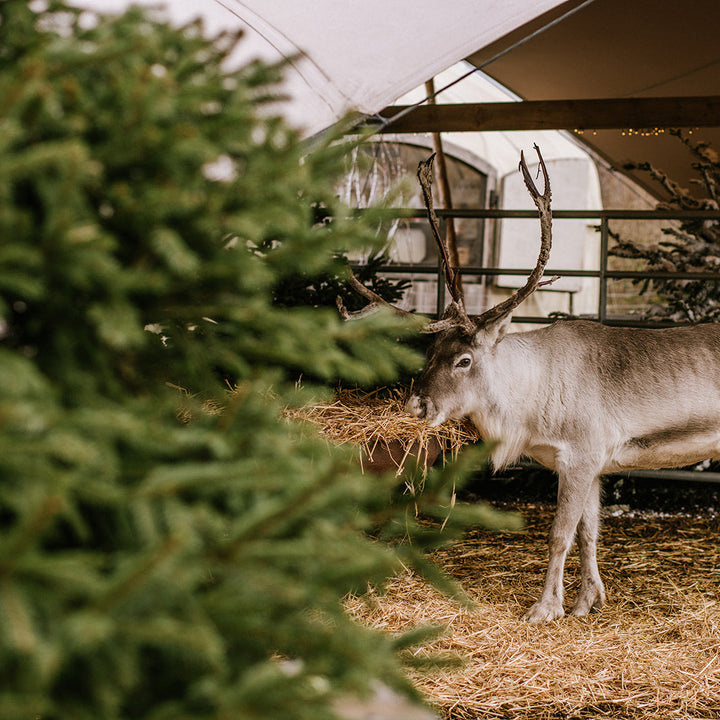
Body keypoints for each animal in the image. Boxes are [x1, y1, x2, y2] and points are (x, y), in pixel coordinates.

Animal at [341, 145, 720, 622]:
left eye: (464, 360)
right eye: (430, 353)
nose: (417, 406)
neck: (530, 403)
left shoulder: (580, 456)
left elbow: (559, 536)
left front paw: (544, 608)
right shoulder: (592, 466)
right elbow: (588, 534)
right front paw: (586, 602)